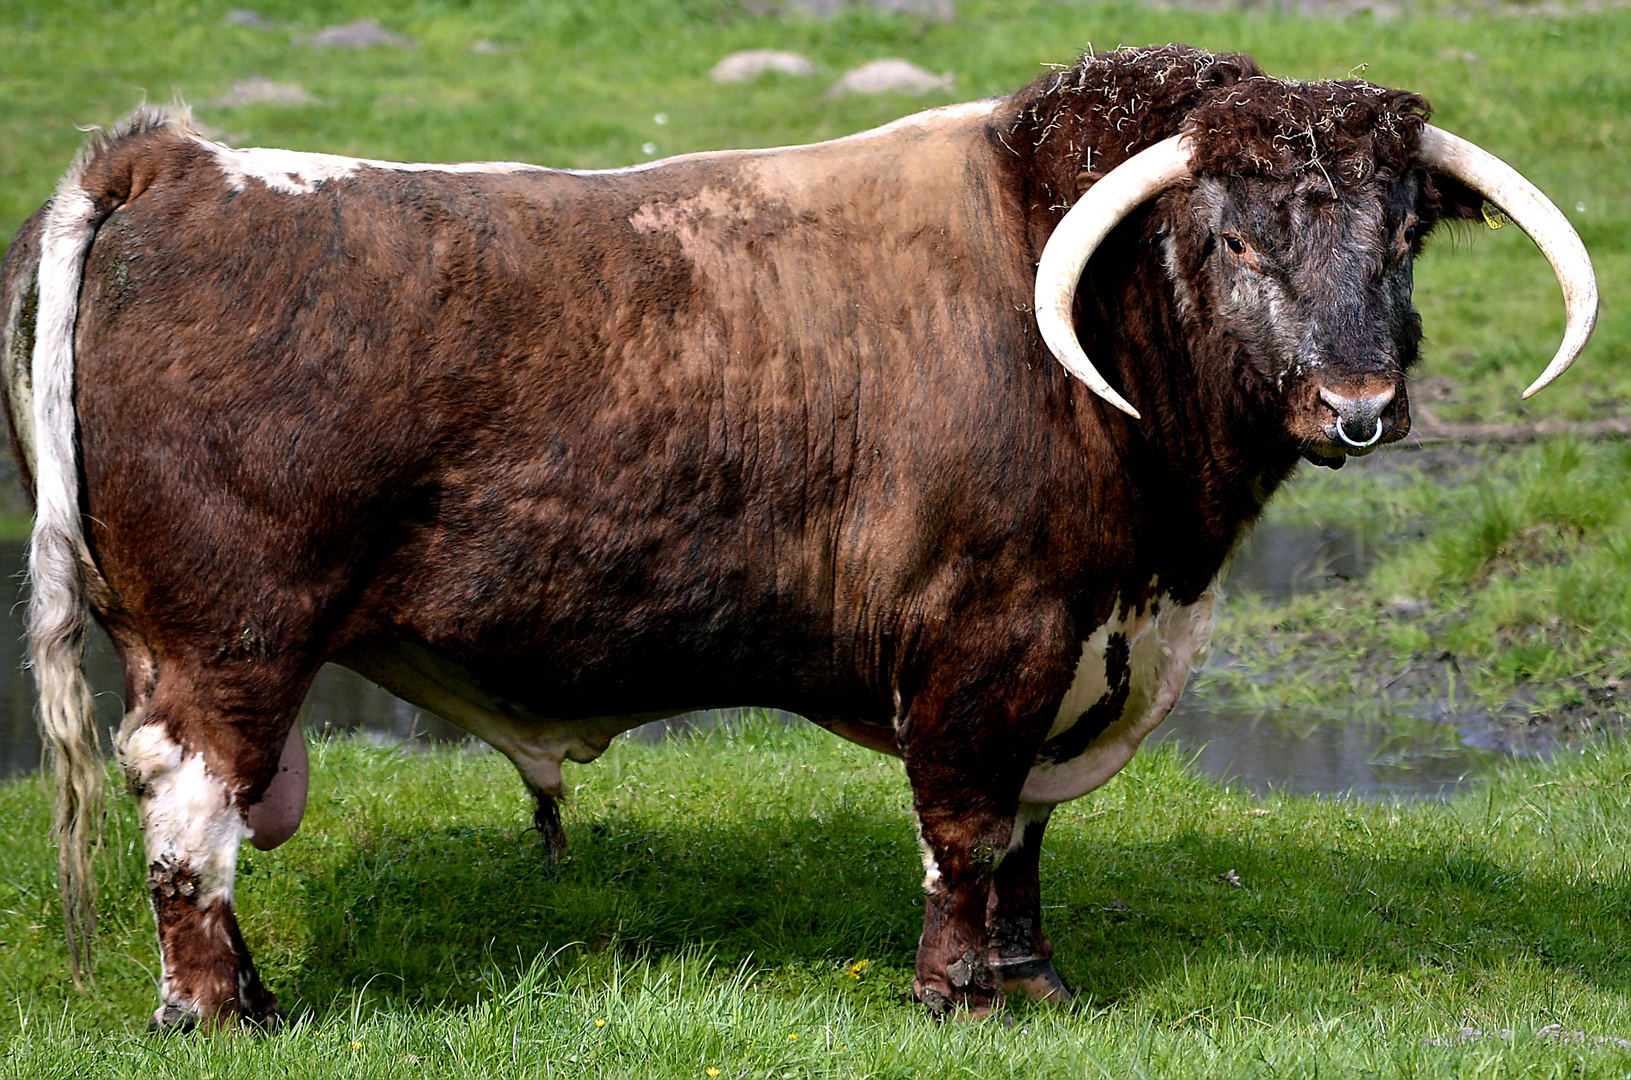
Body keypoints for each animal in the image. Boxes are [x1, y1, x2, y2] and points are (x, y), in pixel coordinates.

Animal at [0, 42, 1591, 1031]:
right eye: (1236, 239)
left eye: (1401, 236)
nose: (1357, 405)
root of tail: (176, 165)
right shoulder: (988, 634)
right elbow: (965, 821)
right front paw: (957, 996)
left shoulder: (1079, 636)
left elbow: (1024, 832)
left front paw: (1035, 985)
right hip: (234, 639)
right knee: (189, 810)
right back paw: (224, 1012)